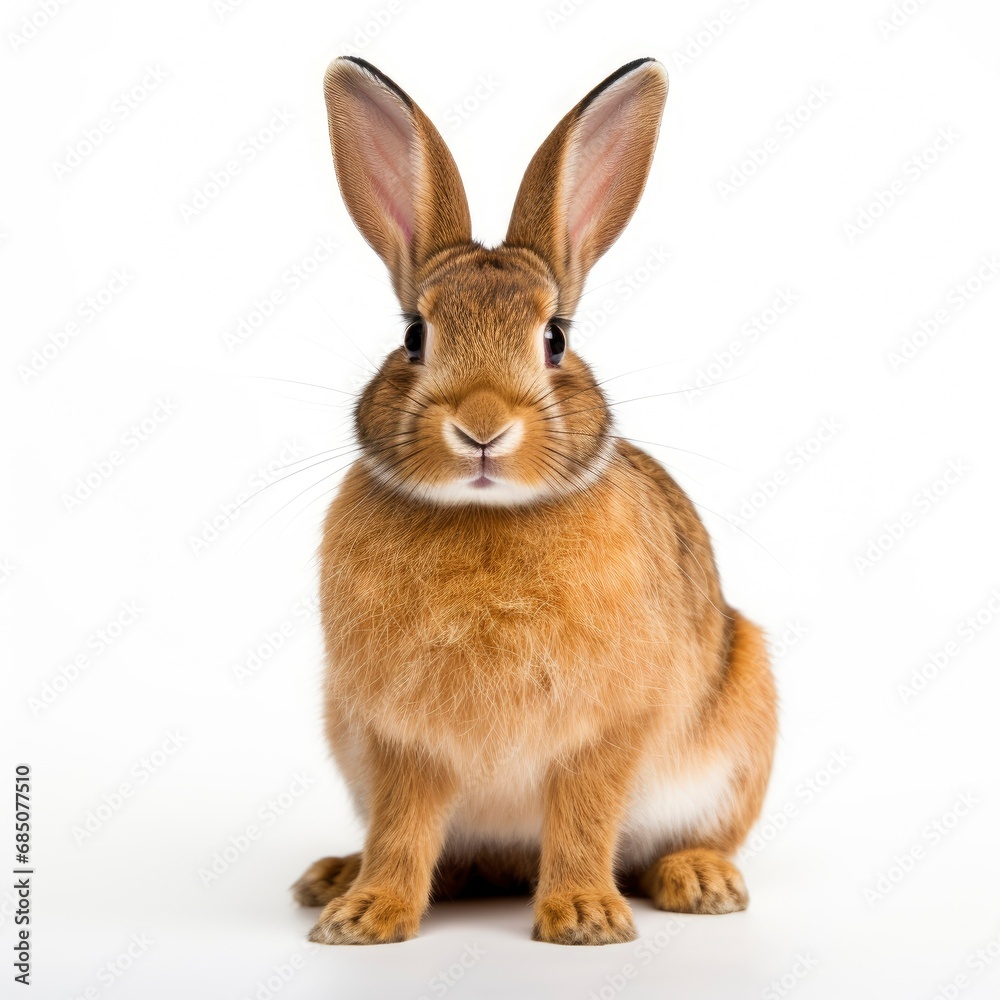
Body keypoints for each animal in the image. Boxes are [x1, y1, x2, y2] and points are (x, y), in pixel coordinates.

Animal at [292, 55, 778, 946]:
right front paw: (366, 918)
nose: (482, 427)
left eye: (555, 339)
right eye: (414, 336)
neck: (486, 517)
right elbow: (402, 827)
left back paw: (700, 880)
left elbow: (583, 818)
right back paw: (335, 877)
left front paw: (584, 919)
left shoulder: (604, 732)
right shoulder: (398, 739)